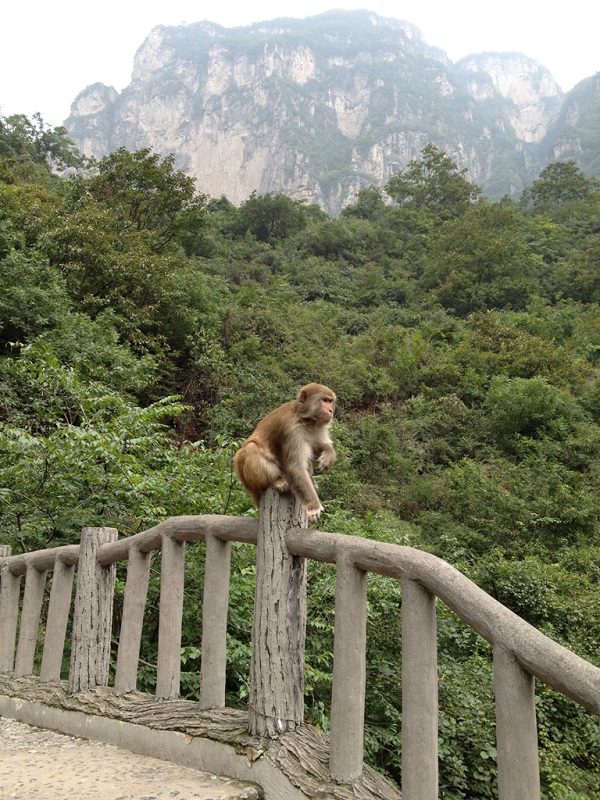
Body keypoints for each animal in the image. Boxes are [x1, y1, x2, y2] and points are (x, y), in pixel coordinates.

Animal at [234, 382, 338, 524]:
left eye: (330, 401)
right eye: (325, 400)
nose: (331, 410)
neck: (306, 419)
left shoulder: (318, 427)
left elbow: (320, 446)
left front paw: (327, 457)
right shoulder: (292, 429)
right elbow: (295, 467)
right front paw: (313, 506)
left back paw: (311, 481)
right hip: (248, 477)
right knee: (251, 447)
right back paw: (277, 481)